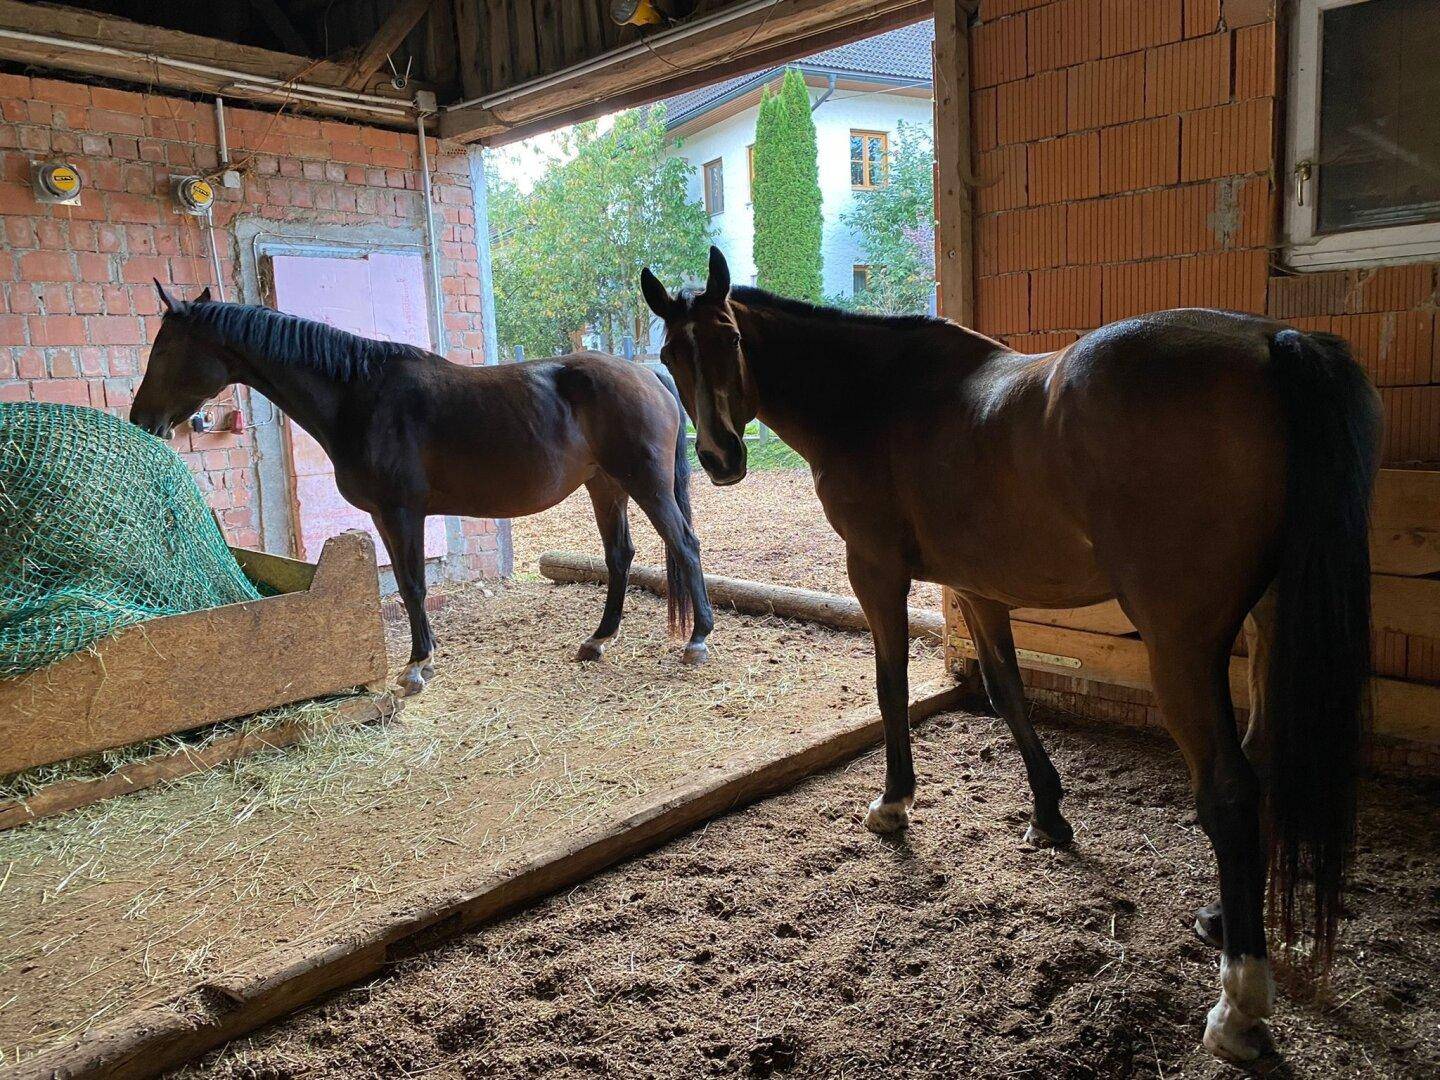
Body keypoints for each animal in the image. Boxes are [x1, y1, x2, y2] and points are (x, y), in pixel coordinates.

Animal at [131, 282, 714, 696]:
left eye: (162, 351)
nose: (141, 420)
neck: (360, 397)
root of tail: (648, 375)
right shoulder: (384, 516)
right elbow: (406, 583)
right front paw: (422, 657)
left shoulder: (401, 512)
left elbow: (412, 585)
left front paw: (416, 666)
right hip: (605, 485)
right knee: (620, 555)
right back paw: (598, 640)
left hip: (645, 484)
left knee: (684, 544)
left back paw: (698, 639)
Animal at [640, 247, 1380, 1063]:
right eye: (671, 357)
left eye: (730, 341)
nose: (718, 457)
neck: (874, 398)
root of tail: (1273, 342)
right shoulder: (977, 585)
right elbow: (1007, 693)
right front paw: (1049, 816)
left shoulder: (875, 571)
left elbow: (891, 685)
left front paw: (894, 803)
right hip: (1269, 618)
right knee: (1268, 747)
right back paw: (1222, 923)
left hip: (1182, 642)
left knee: (1230, 792)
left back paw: (1238, 1005)